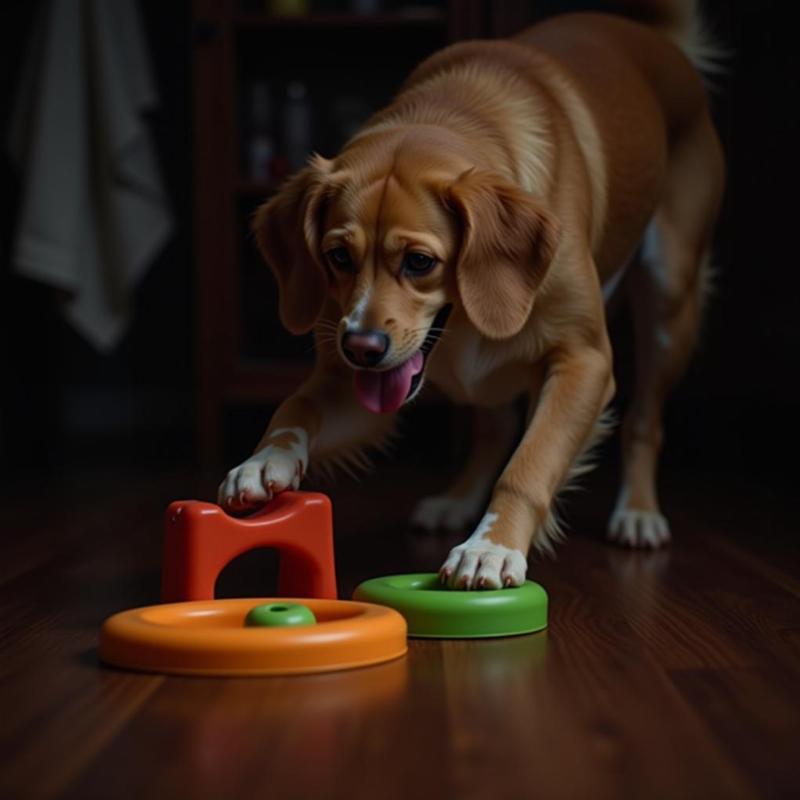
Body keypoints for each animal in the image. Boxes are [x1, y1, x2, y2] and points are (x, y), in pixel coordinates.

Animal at [217, 0, 724, 588]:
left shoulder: (586, 361)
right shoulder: (354, 384)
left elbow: (529, 464)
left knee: (645, 421)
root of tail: (651, 36)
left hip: (669, 302)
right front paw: (262, 461)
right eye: (338, 257)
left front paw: (492, 545)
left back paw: (638, 512)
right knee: (493, 428)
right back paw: (457, 500)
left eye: (420, 262)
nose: (361, 348)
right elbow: (296, 405)